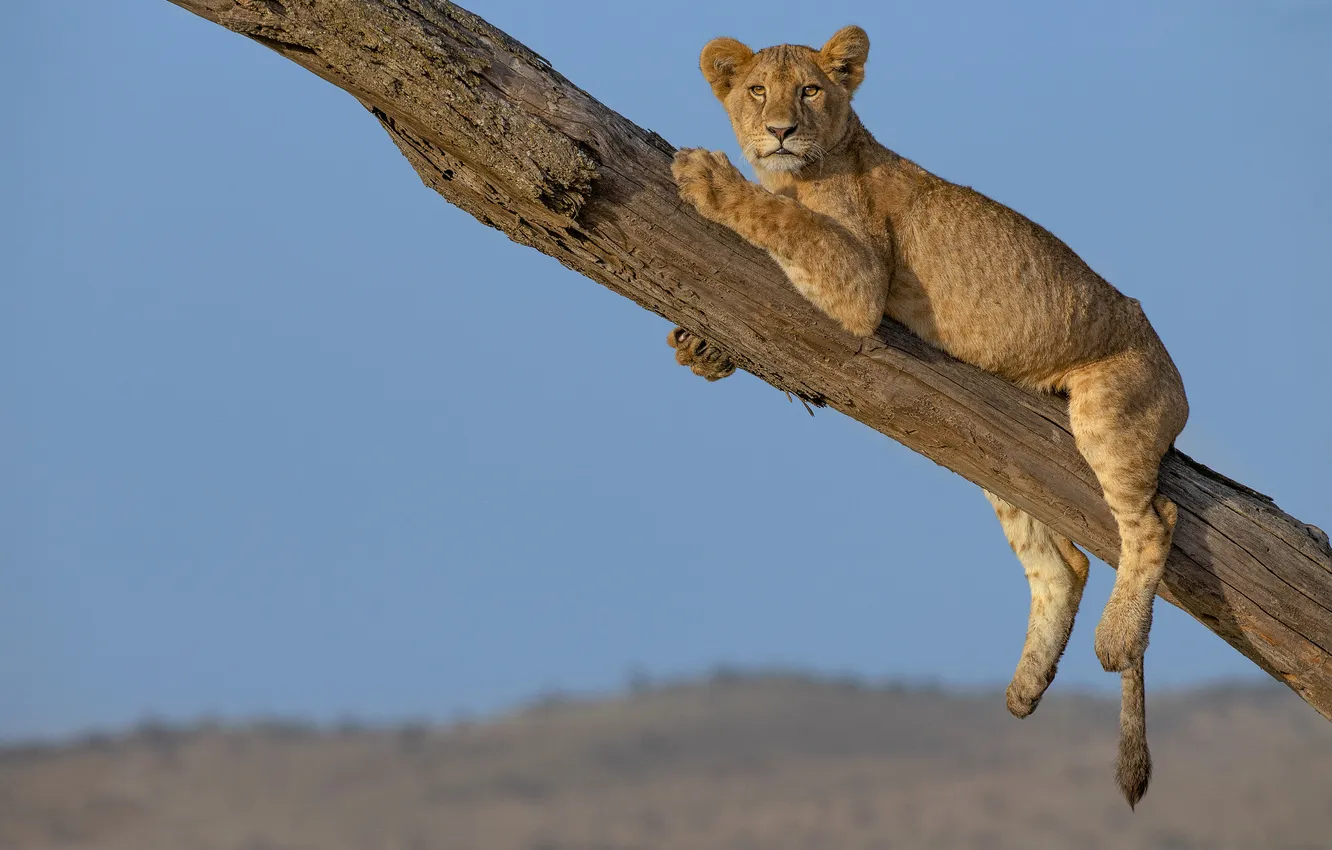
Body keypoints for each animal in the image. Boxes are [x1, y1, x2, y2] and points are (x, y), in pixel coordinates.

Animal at [668, 26, 1189, 808]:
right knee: (1063, 563)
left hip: (1111, 410)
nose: (781, 130)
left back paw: (1118, 639)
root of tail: (1180, 385)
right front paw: (698, 346)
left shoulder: (858, 276)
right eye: (757, 90)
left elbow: (786, 220)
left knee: (1152, 522)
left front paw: (706, 176)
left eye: (810, 90)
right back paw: (1025, 688)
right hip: (1000, 455)